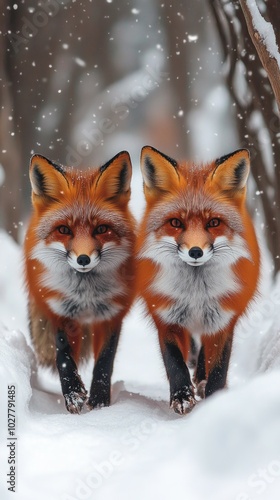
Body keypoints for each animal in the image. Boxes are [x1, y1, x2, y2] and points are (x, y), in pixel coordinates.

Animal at [24, 152, 136, 414]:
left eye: (101, 229)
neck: (86, 294)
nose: (83, 259)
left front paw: (100, 400)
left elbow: (105, 361)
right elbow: (63, 358)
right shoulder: (60, 311)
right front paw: (73, 394)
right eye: (64, 230)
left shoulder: (111, 314)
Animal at [136, 145, 260, 414]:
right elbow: (174, 363)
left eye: (213, 222)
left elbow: (219, 367)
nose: (195, 252)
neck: (195, 294)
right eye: (175, 222)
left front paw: (214, 399)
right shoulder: (166, 316)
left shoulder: (224, 317)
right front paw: (182, 396)